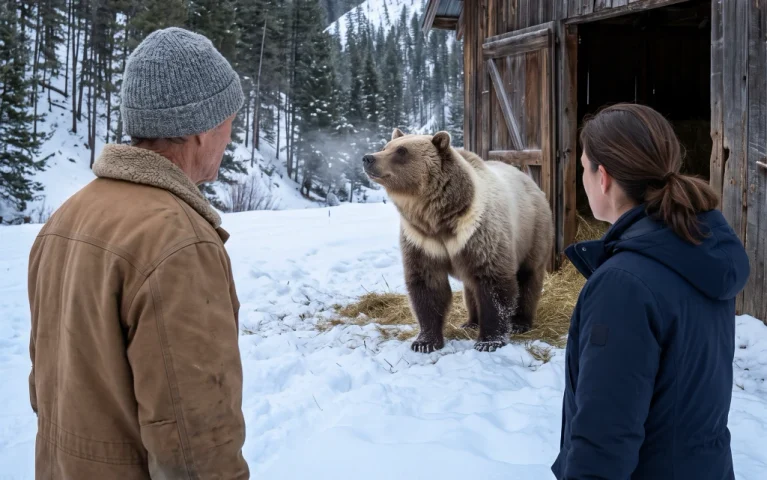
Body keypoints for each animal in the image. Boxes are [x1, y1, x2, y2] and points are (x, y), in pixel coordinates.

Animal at [362, 128, 554, 353]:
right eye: (386, 146)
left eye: (401, 151)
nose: (368, 158)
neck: (439, 217)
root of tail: (529, 180)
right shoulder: (421, 238)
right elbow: (427, 285)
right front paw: (424, 342)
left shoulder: (479, 231)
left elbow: (493, 282)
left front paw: (489, 341)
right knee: (471, 286)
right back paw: (471, 322)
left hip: (533, 230)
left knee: (527, 277)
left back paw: (519, 322)